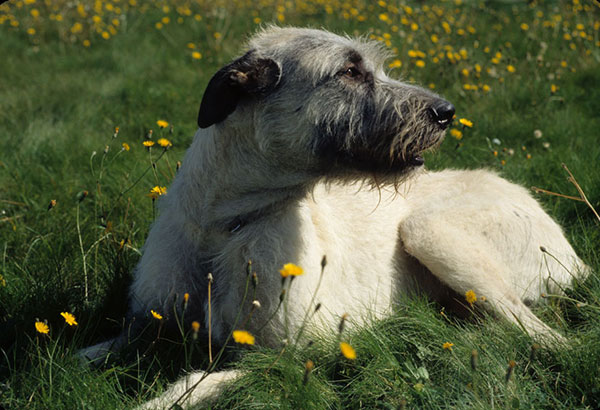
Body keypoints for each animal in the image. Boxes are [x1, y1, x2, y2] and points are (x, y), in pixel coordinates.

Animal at [78, 27, 584, 408]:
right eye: (350, 71)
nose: (447, 113)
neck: (223, 228)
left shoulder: (281, 359)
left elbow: (192, 384)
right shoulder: (146, 323)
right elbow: (87, 350)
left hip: (430, 232)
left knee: (541, 334)